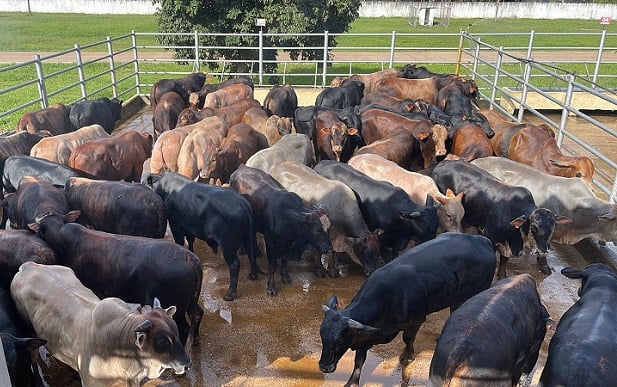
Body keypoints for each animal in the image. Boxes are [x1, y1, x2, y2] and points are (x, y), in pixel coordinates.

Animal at [149, 173, 260, 304]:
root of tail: (242, 202)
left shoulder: (176, 225)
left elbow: (180, 241)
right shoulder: (189, 226)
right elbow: (190, 240)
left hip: (227, 244)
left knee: (234, 265)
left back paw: (230, 294)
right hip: (248, 237)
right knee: (251, 253)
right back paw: (252, 275)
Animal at [229, 164, 332, 298]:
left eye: (329, 228)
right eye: (316, 230)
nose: (329, 248)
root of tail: (241, 167)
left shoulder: (287, 243)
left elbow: (284, 260)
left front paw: (285, 276)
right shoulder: (270, 241)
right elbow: (273, 265)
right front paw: (271, 287)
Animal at [318, 232, 496, 386]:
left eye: (340, 342)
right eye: (322, 337)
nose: (324, 366)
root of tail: (482, 240)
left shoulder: (414, 322)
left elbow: (408, 339)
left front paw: (407, 357)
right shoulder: (364, 335)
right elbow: (359, 360)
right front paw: (352, 382)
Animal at [428, 160, 568, 278]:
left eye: (552, 228)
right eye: (533, 227)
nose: (542, 250)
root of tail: (442, 163)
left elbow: (503, 265)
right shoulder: (492, 238)